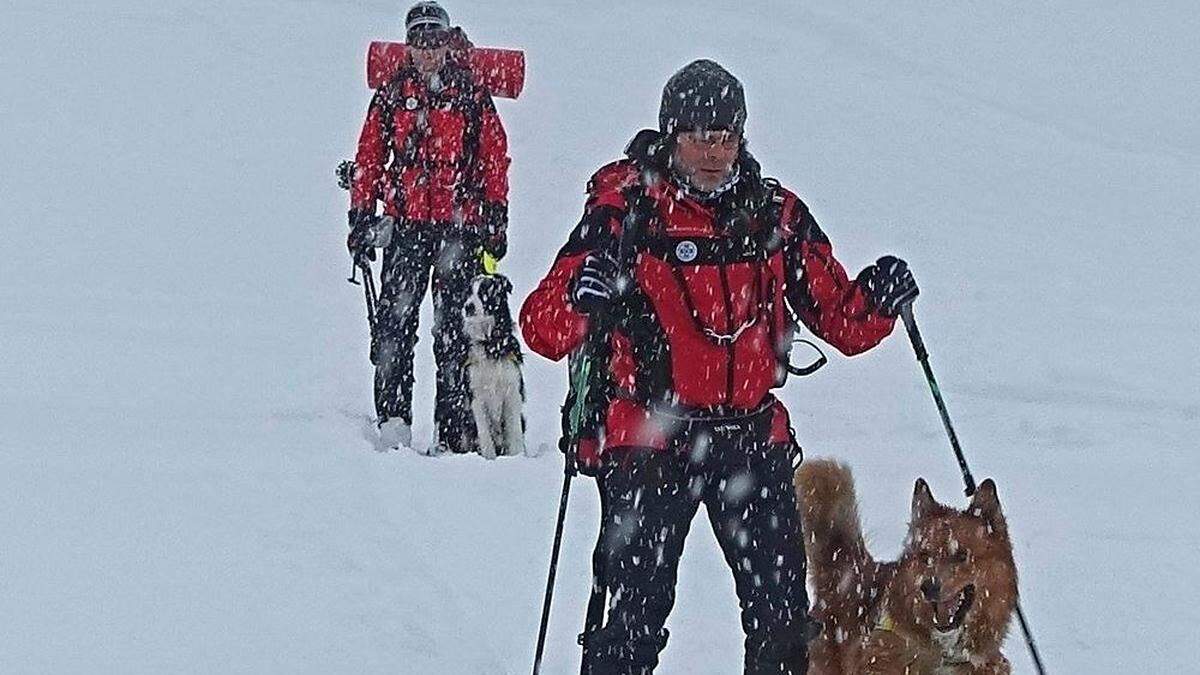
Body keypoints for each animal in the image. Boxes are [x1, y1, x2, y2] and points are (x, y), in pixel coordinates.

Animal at [458, 273, 525, 456]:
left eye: (484, 292)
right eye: (468, 292)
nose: (468, 307)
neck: (491, 345)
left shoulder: (512, 392)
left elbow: (514, 432)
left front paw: (517, 457)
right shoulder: (476, 395)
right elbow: (485, 434)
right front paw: (489, 458)